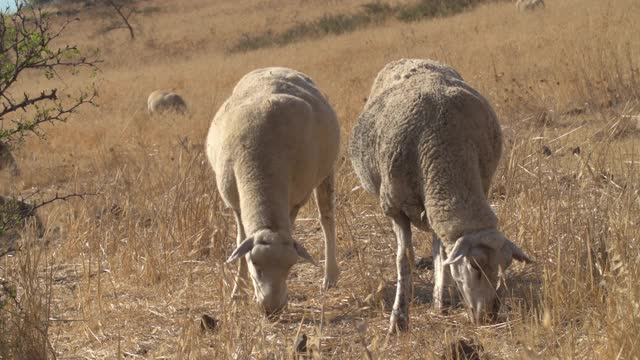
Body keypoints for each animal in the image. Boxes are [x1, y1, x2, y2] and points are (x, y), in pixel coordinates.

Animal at [208, 67, 342, 316]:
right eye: (256, 265)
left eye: (291, 267)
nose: (273, 309)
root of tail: (277, 68)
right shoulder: (234, 203)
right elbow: (240, 239)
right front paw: (238, 292)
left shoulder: (296, 199)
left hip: (326, 171)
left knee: (327, 218)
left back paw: (330, 276)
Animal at [348, 59, 532, 332]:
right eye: (474, 265)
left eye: (506, 264)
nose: (489, 316)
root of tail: (410, 58)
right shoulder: (394, 207)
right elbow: (404, 259)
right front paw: (399, 318)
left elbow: (442, 252)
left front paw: (439, 301)